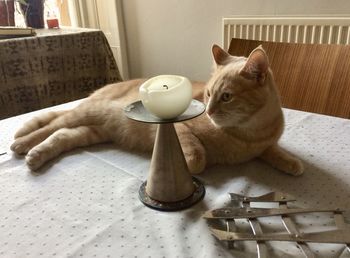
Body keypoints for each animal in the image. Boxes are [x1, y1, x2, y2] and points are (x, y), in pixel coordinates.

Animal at [9, 45, 302, 176]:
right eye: (208, 94)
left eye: (226, 97)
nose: (207, 111)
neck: (248, 134)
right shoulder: (182, 129)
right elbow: (197, 156)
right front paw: (192, 163)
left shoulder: (264, 145)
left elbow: (274, 152)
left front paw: (291, 163)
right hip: (91, 113)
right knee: (53, 124)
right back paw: (22, 143)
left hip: (94, 130)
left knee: (61, 135)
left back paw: (36, 155)